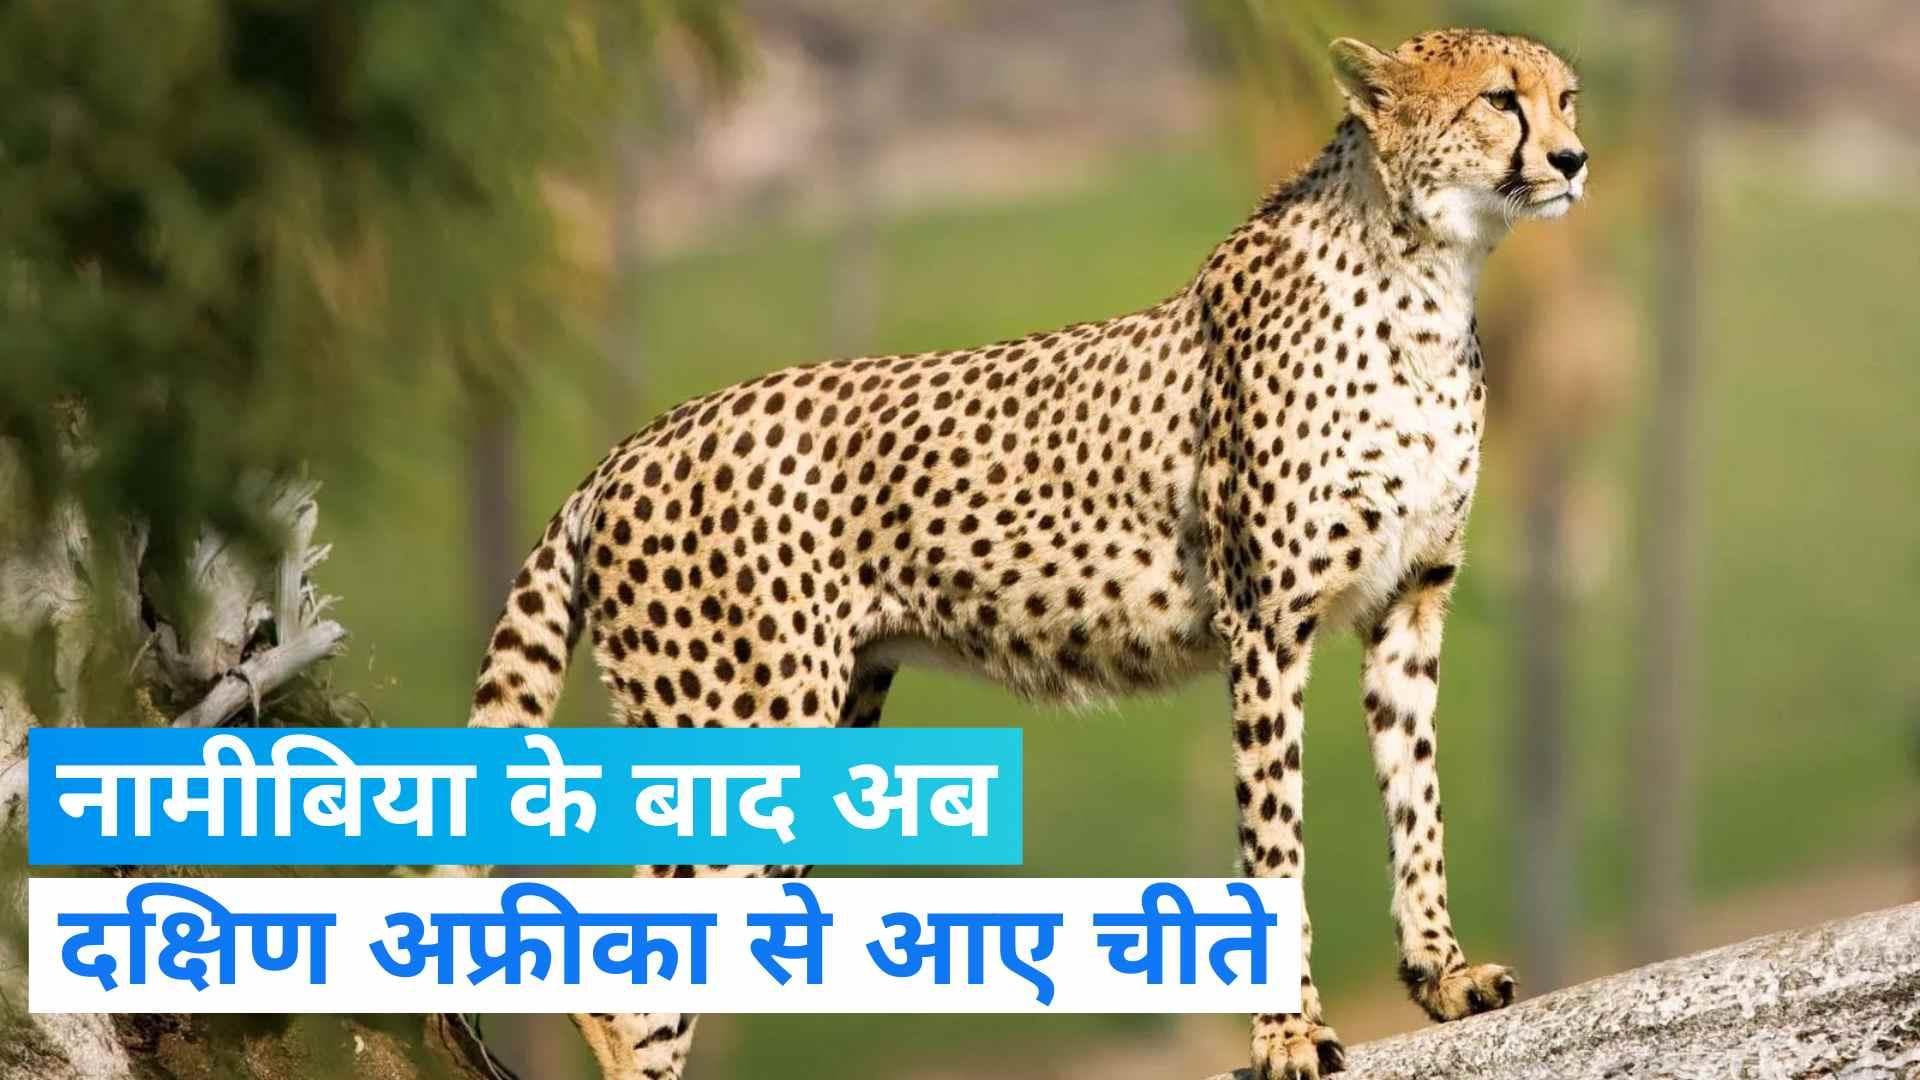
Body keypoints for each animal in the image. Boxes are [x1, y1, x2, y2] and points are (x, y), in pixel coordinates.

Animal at [467, 28, 1587, 1080]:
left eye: (1565, 96)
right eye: (1501, 100)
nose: (1573, 158)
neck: (1426, 273)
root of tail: (626, 450)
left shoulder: (1409, 604)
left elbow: (1417, 799)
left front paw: (1442, 975)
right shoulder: (1266, 622)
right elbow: (1275, 840)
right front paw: (1288, 1033)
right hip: (742, 727)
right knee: (621, 973)